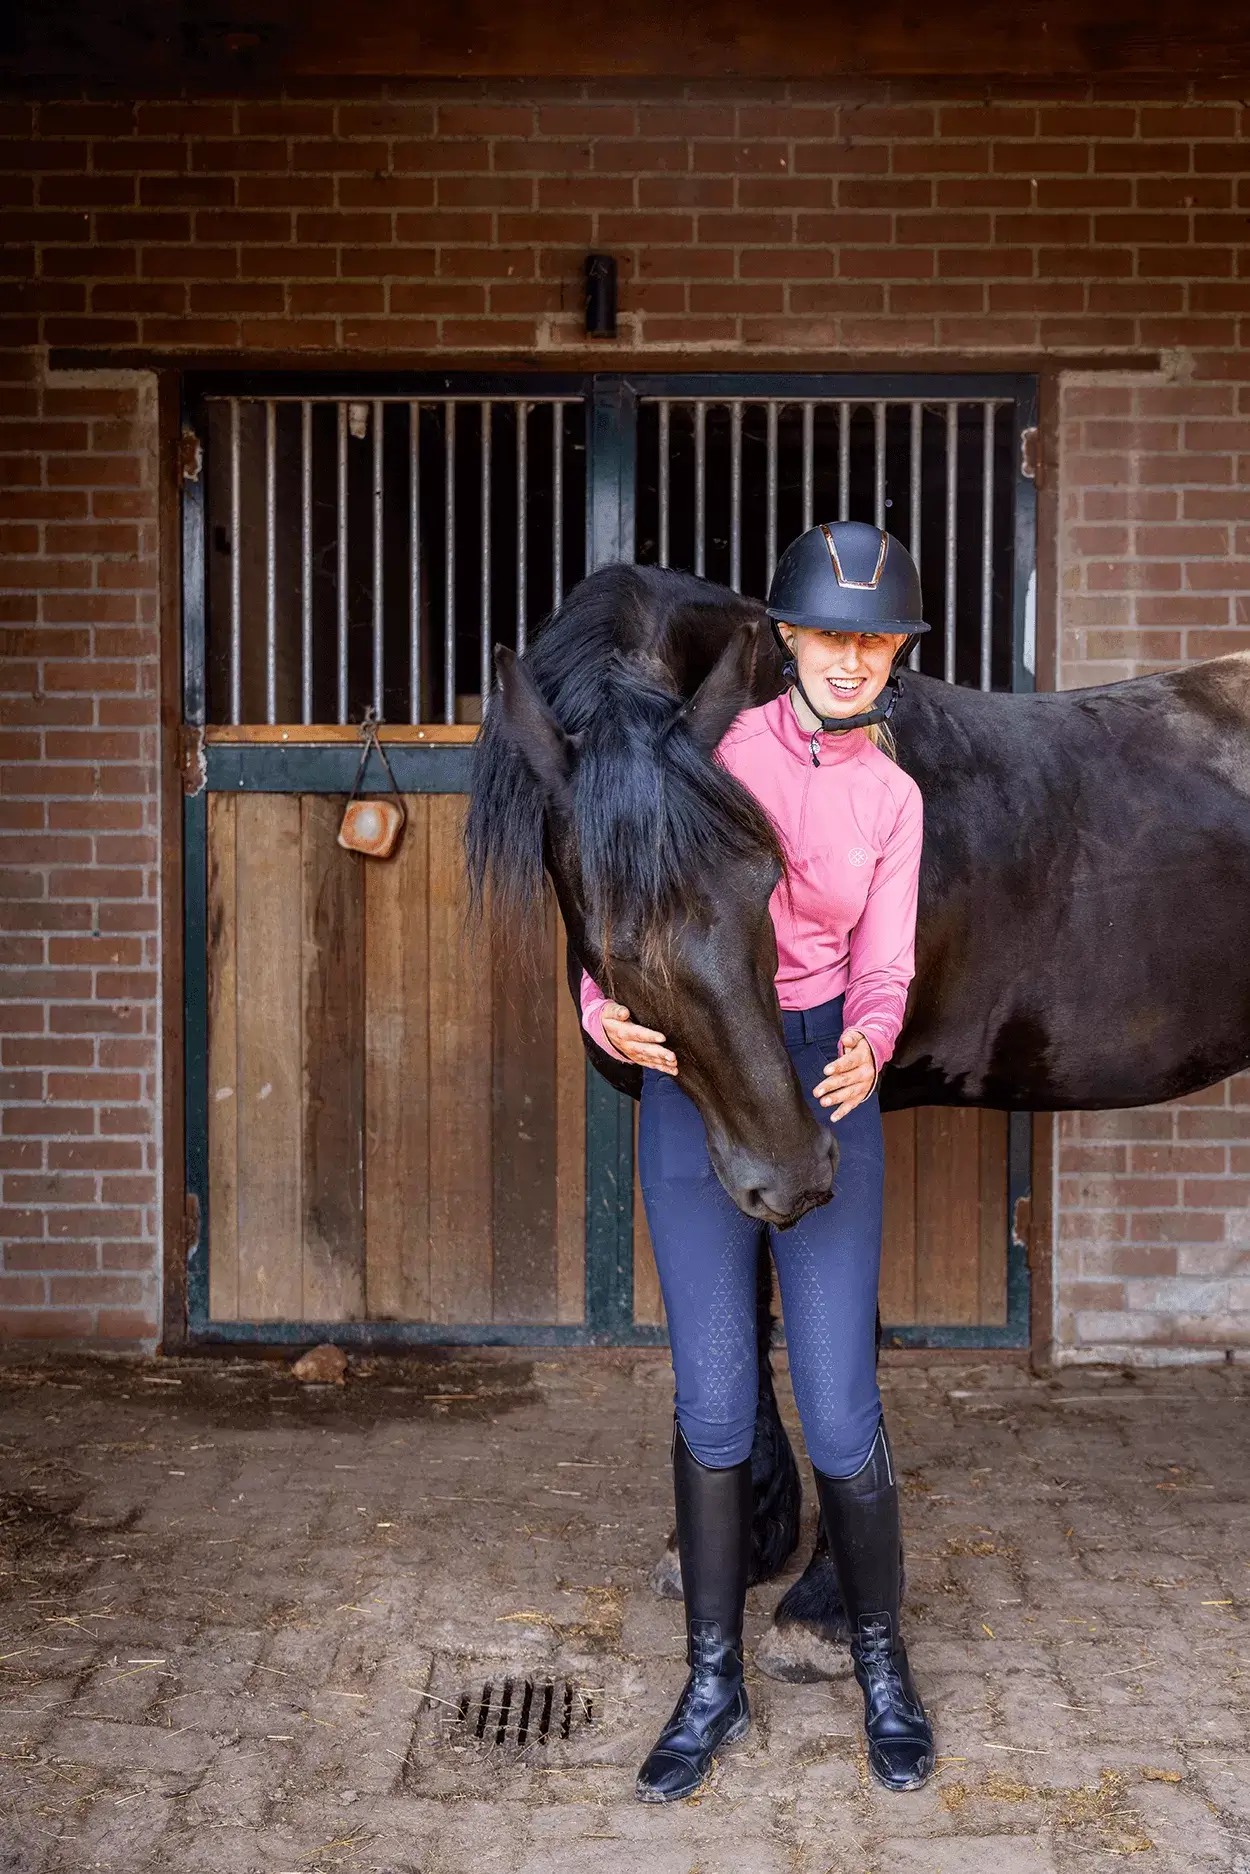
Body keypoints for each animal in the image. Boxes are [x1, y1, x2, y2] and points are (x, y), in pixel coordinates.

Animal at [466, 561, 1250, 1678]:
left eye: (770, 874)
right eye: (616, 939)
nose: (795, 1171)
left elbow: (844, 1342)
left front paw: (822, 1604)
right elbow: (746, 1318)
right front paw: (749, 1533)